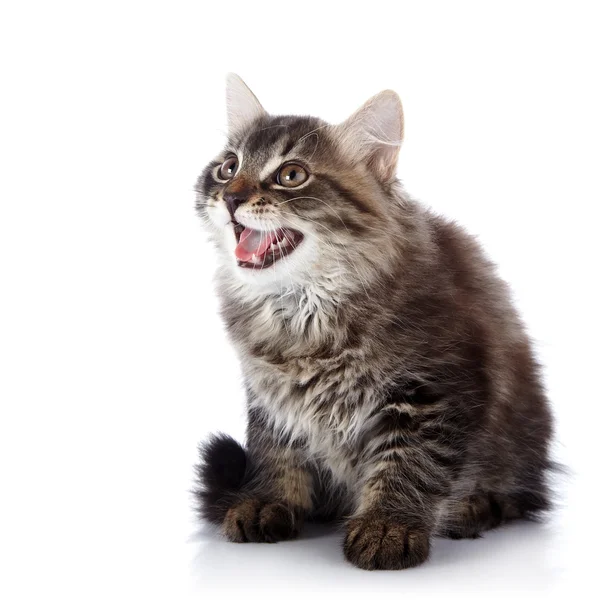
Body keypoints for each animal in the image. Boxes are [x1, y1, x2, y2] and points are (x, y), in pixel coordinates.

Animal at [192, 75, 552, 572]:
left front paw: (388, 527)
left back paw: (470, 509)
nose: (229, 196)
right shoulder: (270, 394)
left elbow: (410, 463)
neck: (303, 310)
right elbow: (275, 449)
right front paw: (268, 501)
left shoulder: (434, 392)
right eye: (228, 168)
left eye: (291, 175)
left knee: (515, 496)